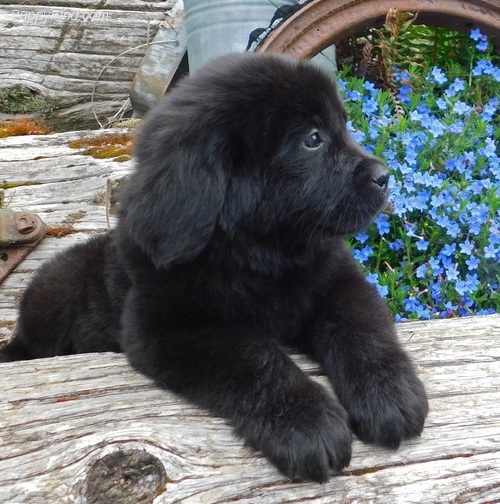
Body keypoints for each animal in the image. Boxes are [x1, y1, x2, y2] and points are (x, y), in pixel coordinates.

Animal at [1, 53, 428, 482]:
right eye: (313, 139)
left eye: (342, 126)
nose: (385, 176)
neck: (261, 257)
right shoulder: (166, 330)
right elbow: (253, 355)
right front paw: (308, 423)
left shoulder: (341, 281)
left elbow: (359, 327)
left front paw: (389, 394)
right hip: (52, 297)